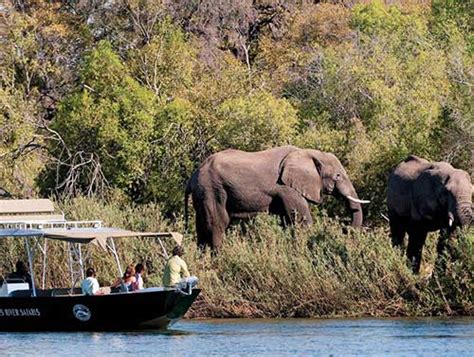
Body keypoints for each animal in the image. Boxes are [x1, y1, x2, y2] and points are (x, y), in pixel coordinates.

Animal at [185, 144, 370, 248]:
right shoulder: (286, 188)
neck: (307, 153)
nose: (345, 229)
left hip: (203, 193)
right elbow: (302, 221)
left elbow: (286, 222)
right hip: (211, 189)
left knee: (202, 227)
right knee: (217, 225)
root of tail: (192, 176)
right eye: (337, 176)